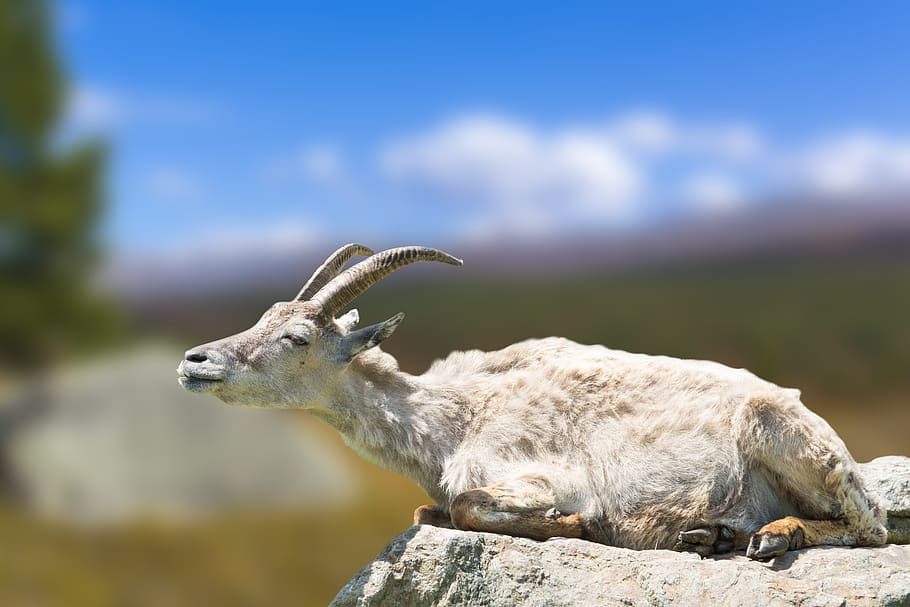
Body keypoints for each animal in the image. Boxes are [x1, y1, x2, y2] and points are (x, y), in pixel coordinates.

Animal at [177, 244, 887, 559]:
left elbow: (469, 506)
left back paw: (770, 535)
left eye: (296, 338)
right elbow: (428, 512)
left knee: (869, 526)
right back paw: (712, 533)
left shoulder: (542, 474)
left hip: (793, 441)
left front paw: (578, 527)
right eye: (263, 317)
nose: (194, 362)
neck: (454, 417)